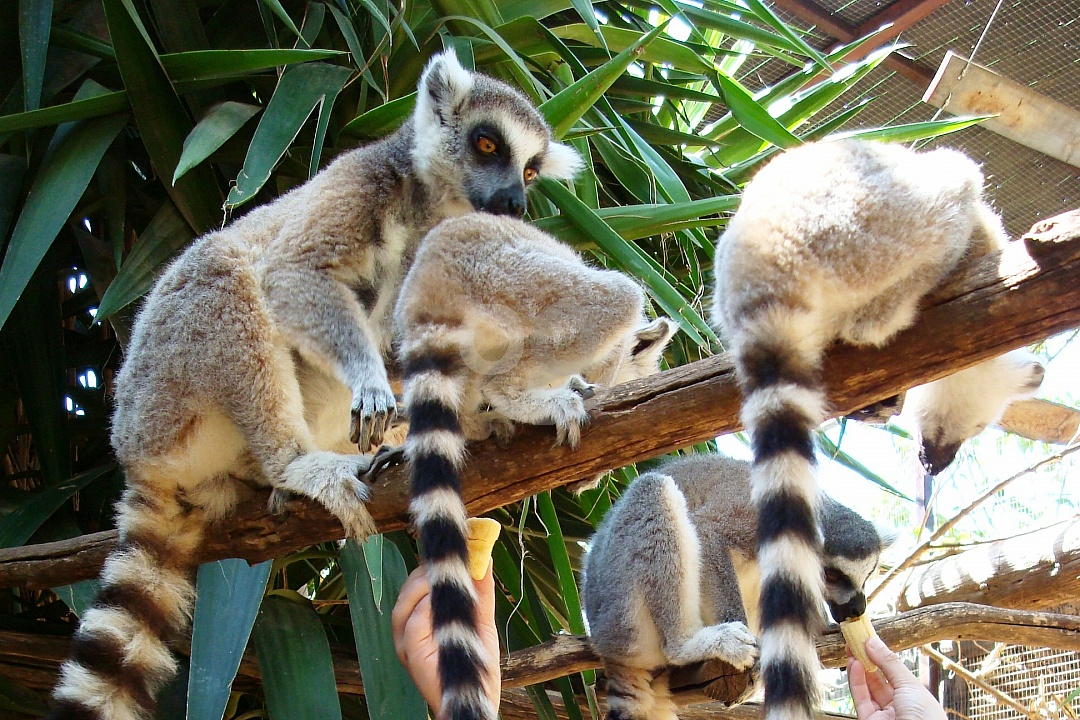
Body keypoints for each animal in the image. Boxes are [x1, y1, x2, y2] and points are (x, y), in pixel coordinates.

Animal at [46, 51, 581, 720]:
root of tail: (134, 454)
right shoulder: (358, 184)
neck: (426, 208)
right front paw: (376, 385)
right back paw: (295, 464)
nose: (513, 200)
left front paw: (520, 402)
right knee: (229, 276)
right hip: (161, 394)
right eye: (488, 145)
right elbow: (294, 272)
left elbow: (417, 351)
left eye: (531, 169)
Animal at [393, 212, 678, 720]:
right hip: (515, 282)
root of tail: (432, 275)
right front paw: (581, 389)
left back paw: (481, 422)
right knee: (613, 299)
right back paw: (526, 392)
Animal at [583, 453, 889, 720]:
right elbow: (709, 533)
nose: (856, 607)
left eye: (868, 574)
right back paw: (695, 643)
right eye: (832, 575)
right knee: (653, 492)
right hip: (621, 602)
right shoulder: (752, 517)